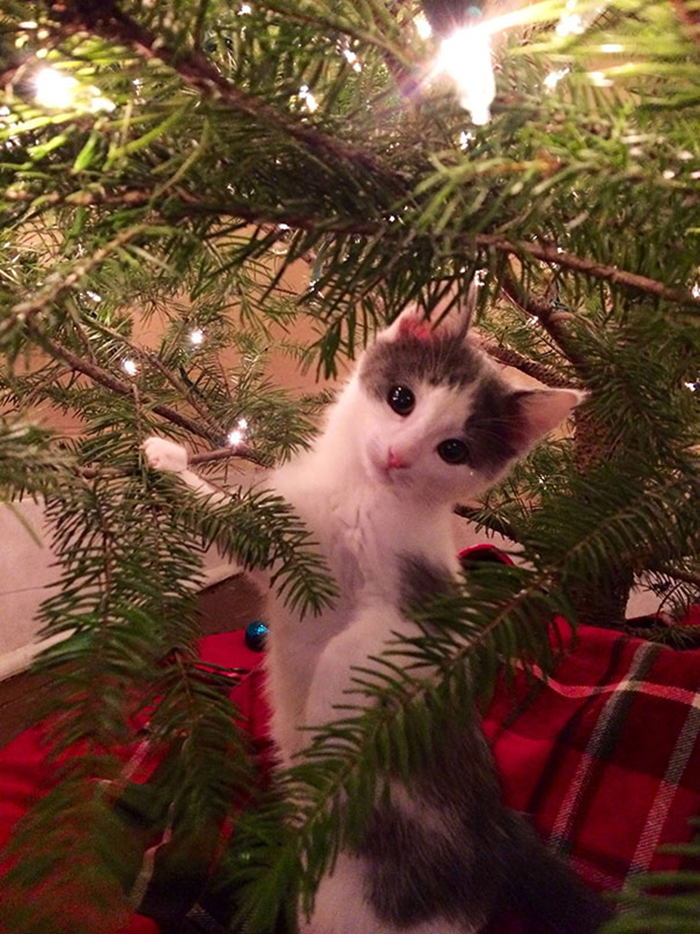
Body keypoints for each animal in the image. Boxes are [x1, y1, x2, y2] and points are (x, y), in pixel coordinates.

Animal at [142, 292, 608, 934]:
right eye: (401, 399)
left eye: (454, 450)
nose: (396, 455)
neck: (361, 492)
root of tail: (497, 842)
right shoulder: (289, 548)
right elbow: (242, 526)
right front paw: (168, 464)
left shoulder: (431, 615)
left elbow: (349, 648)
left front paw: (323, 722)